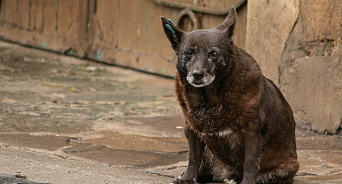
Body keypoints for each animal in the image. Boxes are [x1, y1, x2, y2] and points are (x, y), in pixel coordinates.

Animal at [160, 6, 300, 184]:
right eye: (189, 52)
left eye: (214, 53)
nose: (197, 74)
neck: (210, 100)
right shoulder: (192, 132)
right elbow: (193, 159)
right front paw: (187, 178)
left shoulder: (252, 133)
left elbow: (250, 163)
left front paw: (247, 182)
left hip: (287, 167)